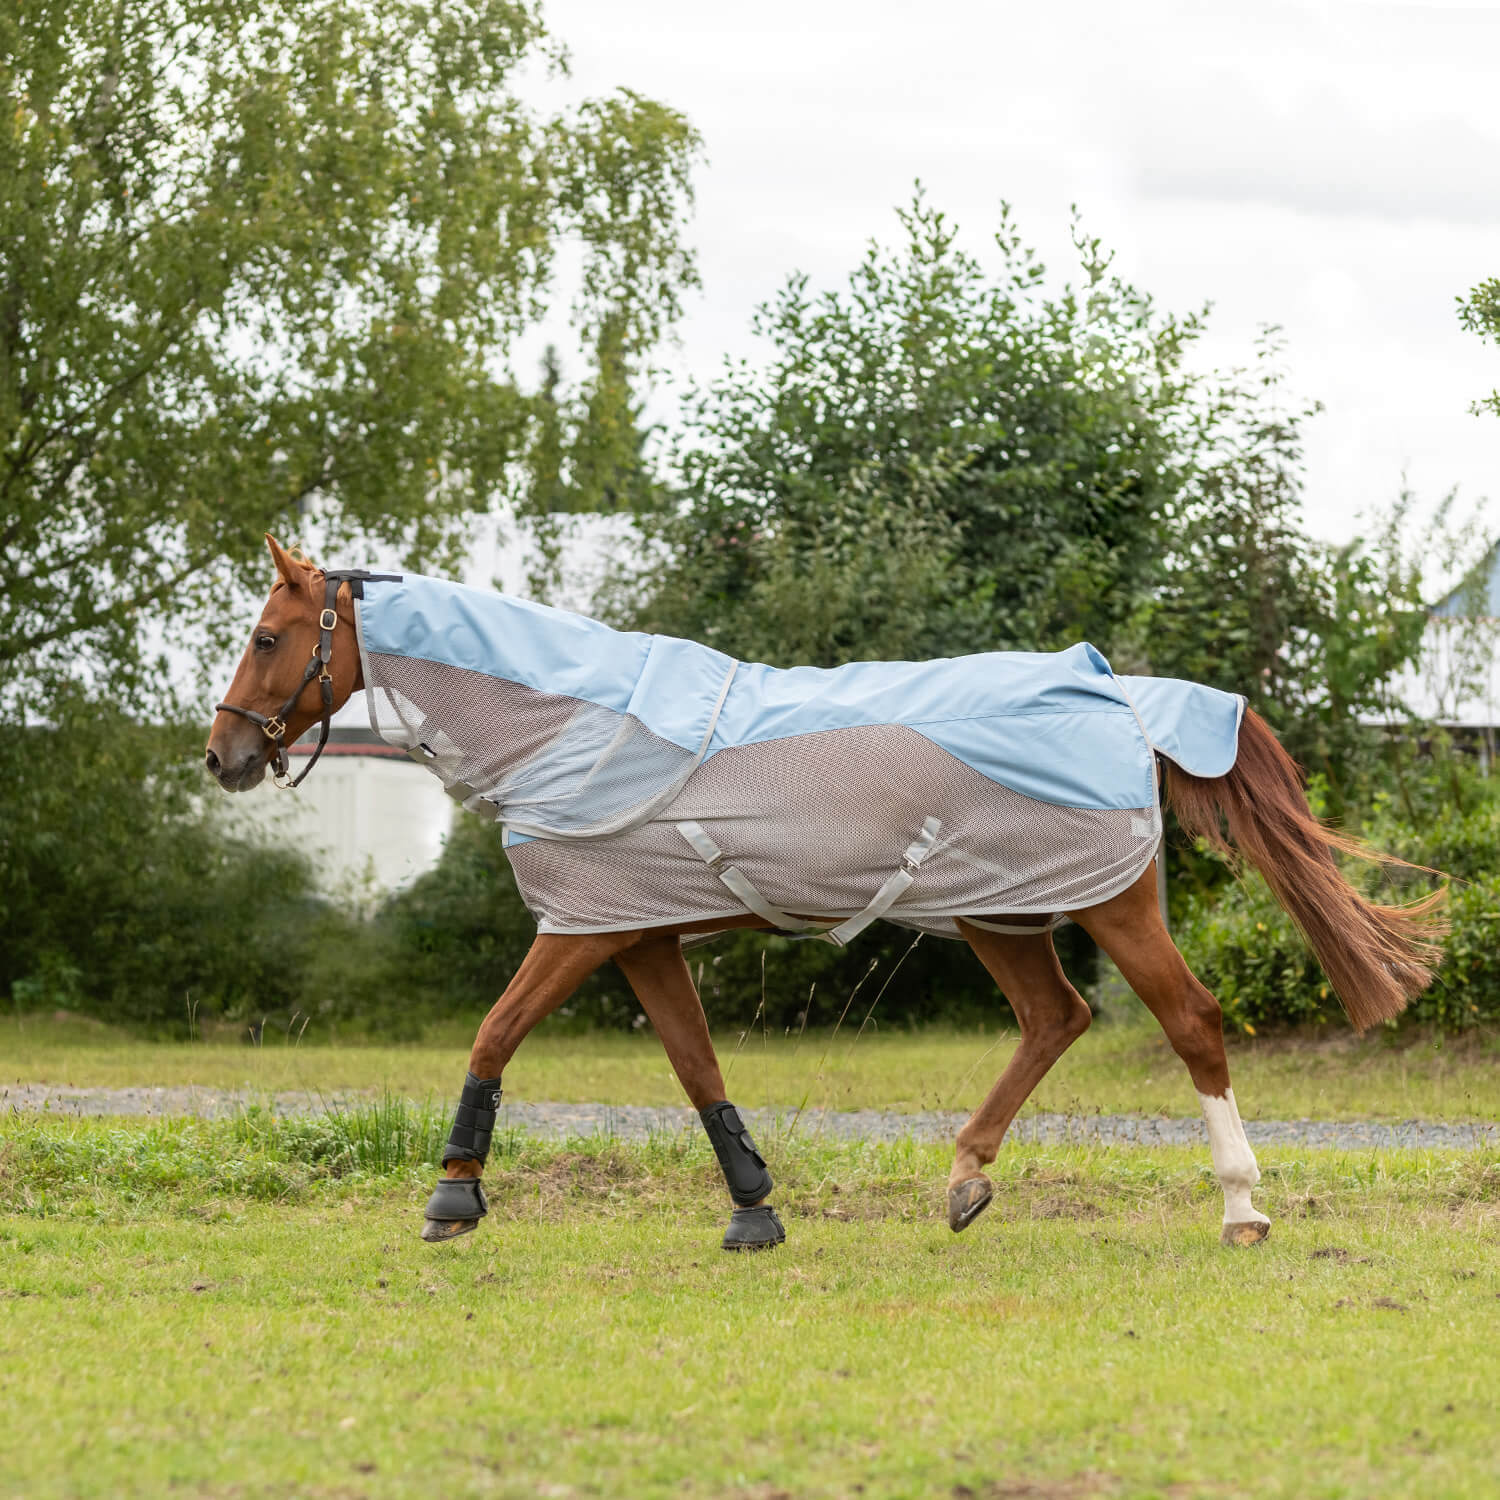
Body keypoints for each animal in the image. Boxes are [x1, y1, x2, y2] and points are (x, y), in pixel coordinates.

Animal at [206, 536, 1445, 1252]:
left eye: (267, 636)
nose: (222, 756)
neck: (573, 726)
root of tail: (1117, 690)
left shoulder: (583, 927)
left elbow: (495, 1032)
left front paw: (454, 1197)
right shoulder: (637, 934)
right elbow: (696, 1066)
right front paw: (754, 1209)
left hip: (1111, 905)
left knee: (1189, 1022)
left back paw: (1242, 1206)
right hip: (999, 913)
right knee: (1056, 1018)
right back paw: (964, 1181)